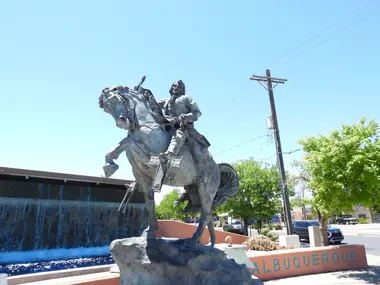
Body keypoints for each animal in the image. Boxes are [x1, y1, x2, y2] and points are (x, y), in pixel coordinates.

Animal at [98, 83, 238, 247]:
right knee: (208, 215)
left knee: (206, 213)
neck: (146, 125)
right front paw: (150, 231)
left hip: (206, 190)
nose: (122, 122)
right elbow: (149, 202)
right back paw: (210, 243)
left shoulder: (149, 155)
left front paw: (110, 165)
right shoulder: (142, 175)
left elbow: (128, 142)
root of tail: (217, 168)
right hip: (194, 190)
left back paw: (193, 240)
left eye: (115, 100)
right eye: (107, 108)